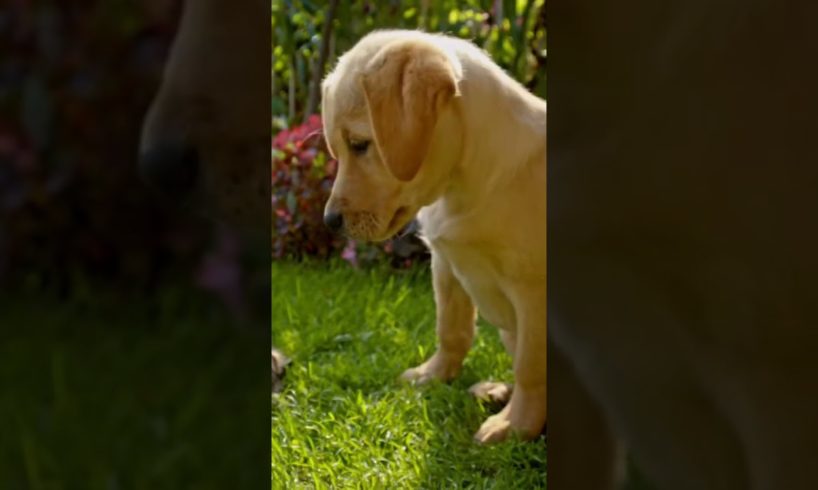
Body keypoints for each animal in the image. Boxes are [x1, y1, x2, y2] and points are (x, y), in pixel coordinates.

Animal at [322, 30, 544, 444]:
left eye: (360, 144)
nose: (329, 221)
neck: (462, 185)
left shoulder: (533, 292)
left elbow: (530, 365)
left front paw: (515, 425)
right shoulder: (446, 266)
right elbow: (451, 331)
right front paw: (433, 375)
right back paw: (493, 390)